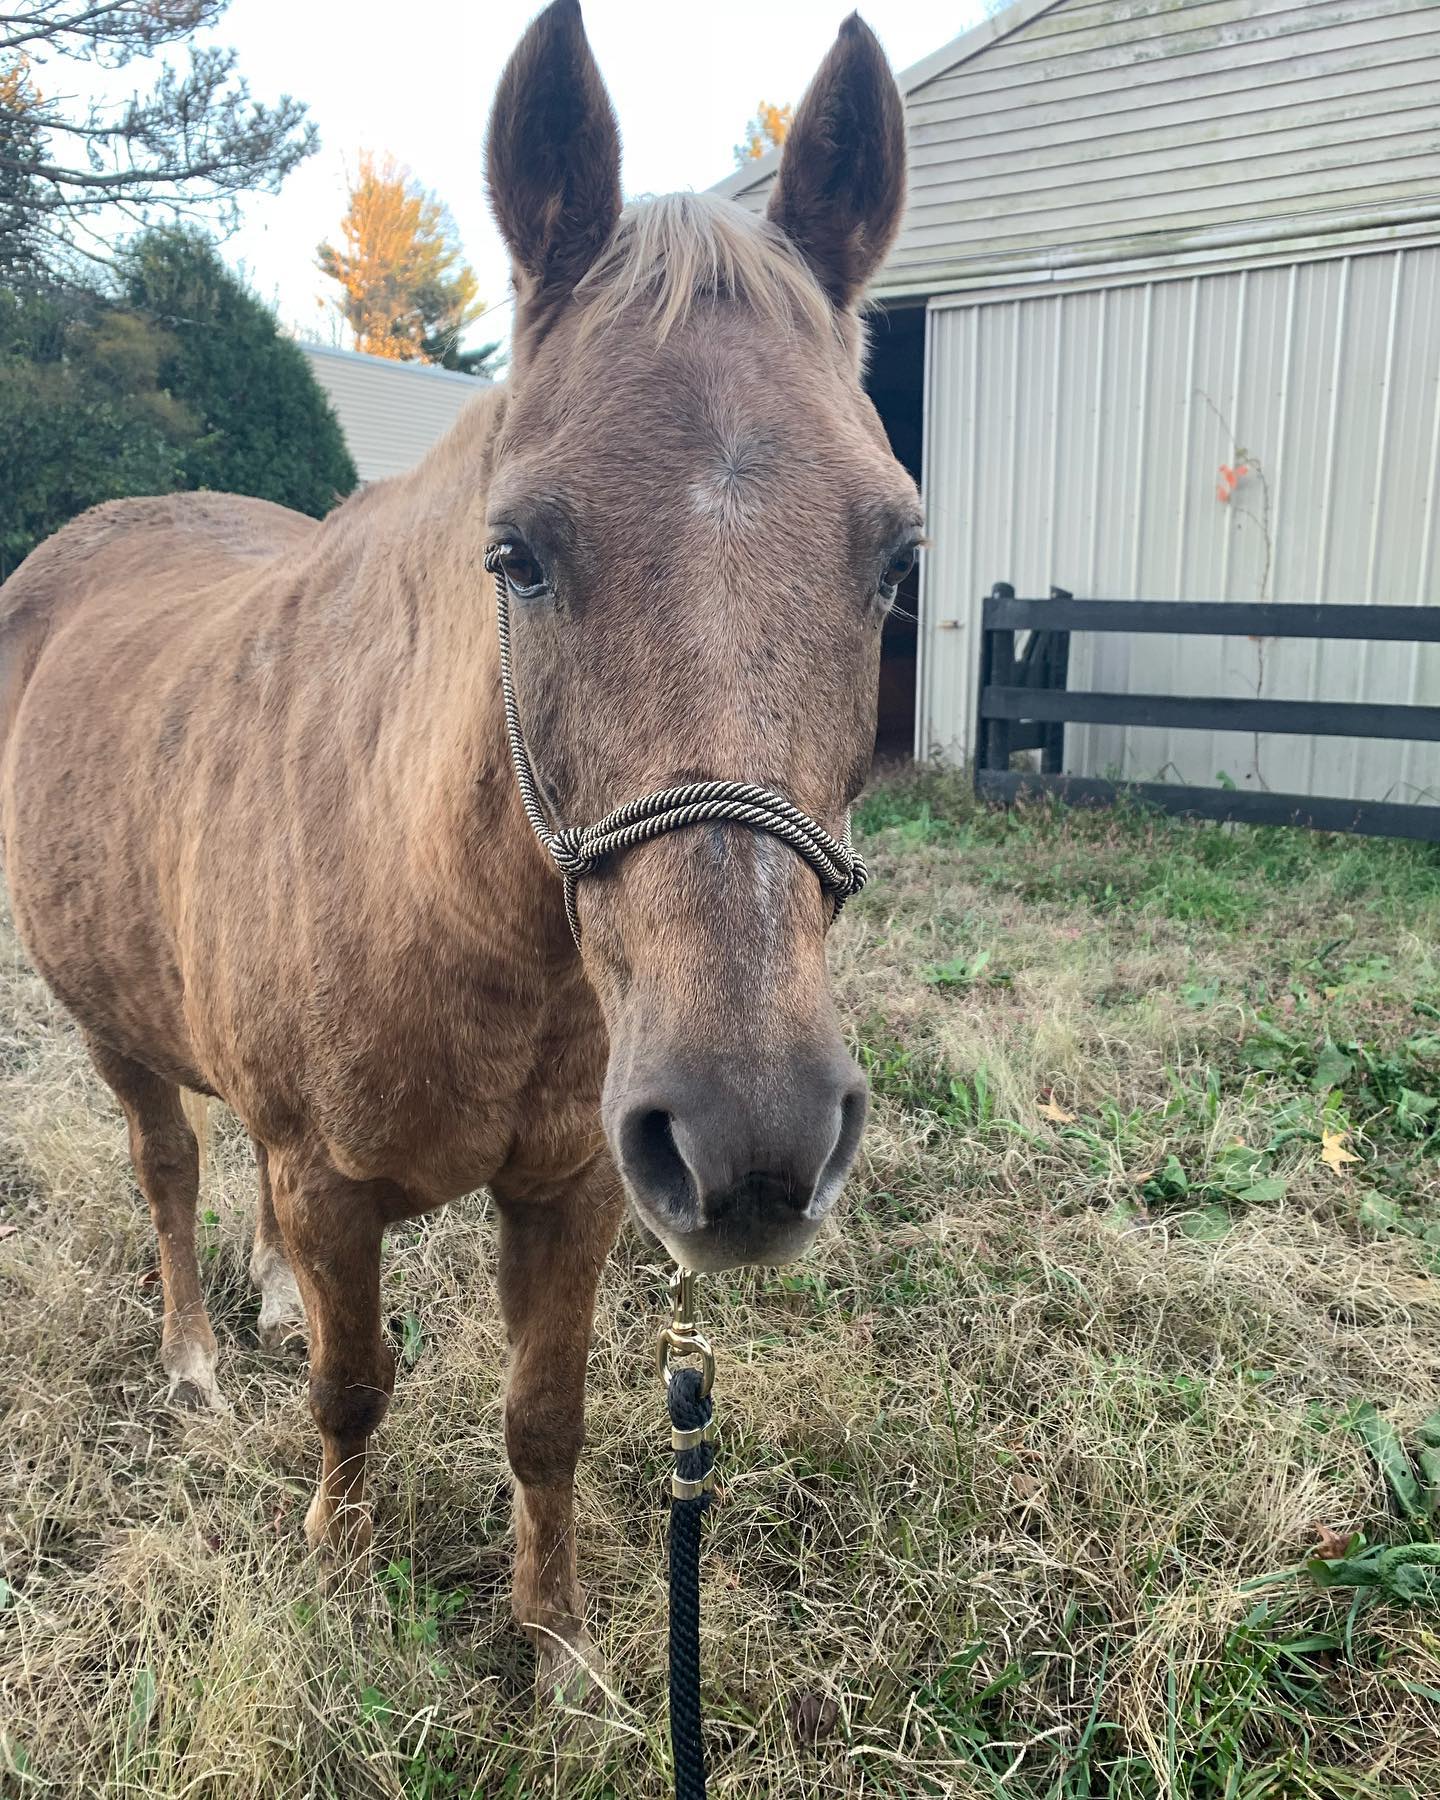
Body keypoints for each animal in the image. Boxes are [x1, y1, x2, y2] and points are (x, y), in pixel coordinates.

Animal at [0, 0, 916, 1699]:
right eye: (519, 553)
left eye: (896, 556)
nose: (755, 1139)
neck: (466, 921)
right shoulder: (338, 1181)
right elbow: (353, 1387)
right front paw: (339, 1567)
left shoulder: (579, 1188)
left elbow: (542, 1420)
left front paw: (555, 1646)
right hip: (113, 1033)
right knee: (170, 1166)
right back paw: (196, 1361)